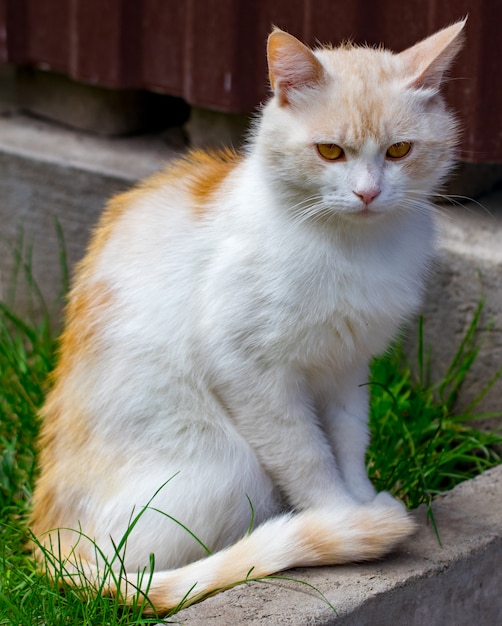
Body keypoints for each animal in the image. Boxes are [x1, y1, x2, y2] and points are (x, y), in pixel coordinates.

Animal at [30, 20, 462, 616]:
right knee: (156, 567)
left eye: (400, 150)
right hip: (233, 466)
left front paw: (359, 497)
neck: (353, 248)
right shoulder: (249, 368)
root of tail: (49, 542)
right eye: (330, 151)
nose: (368, 192)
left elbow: (349, 441)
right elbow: (307, 455)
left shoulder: (347, 366)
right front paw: (343, 518)